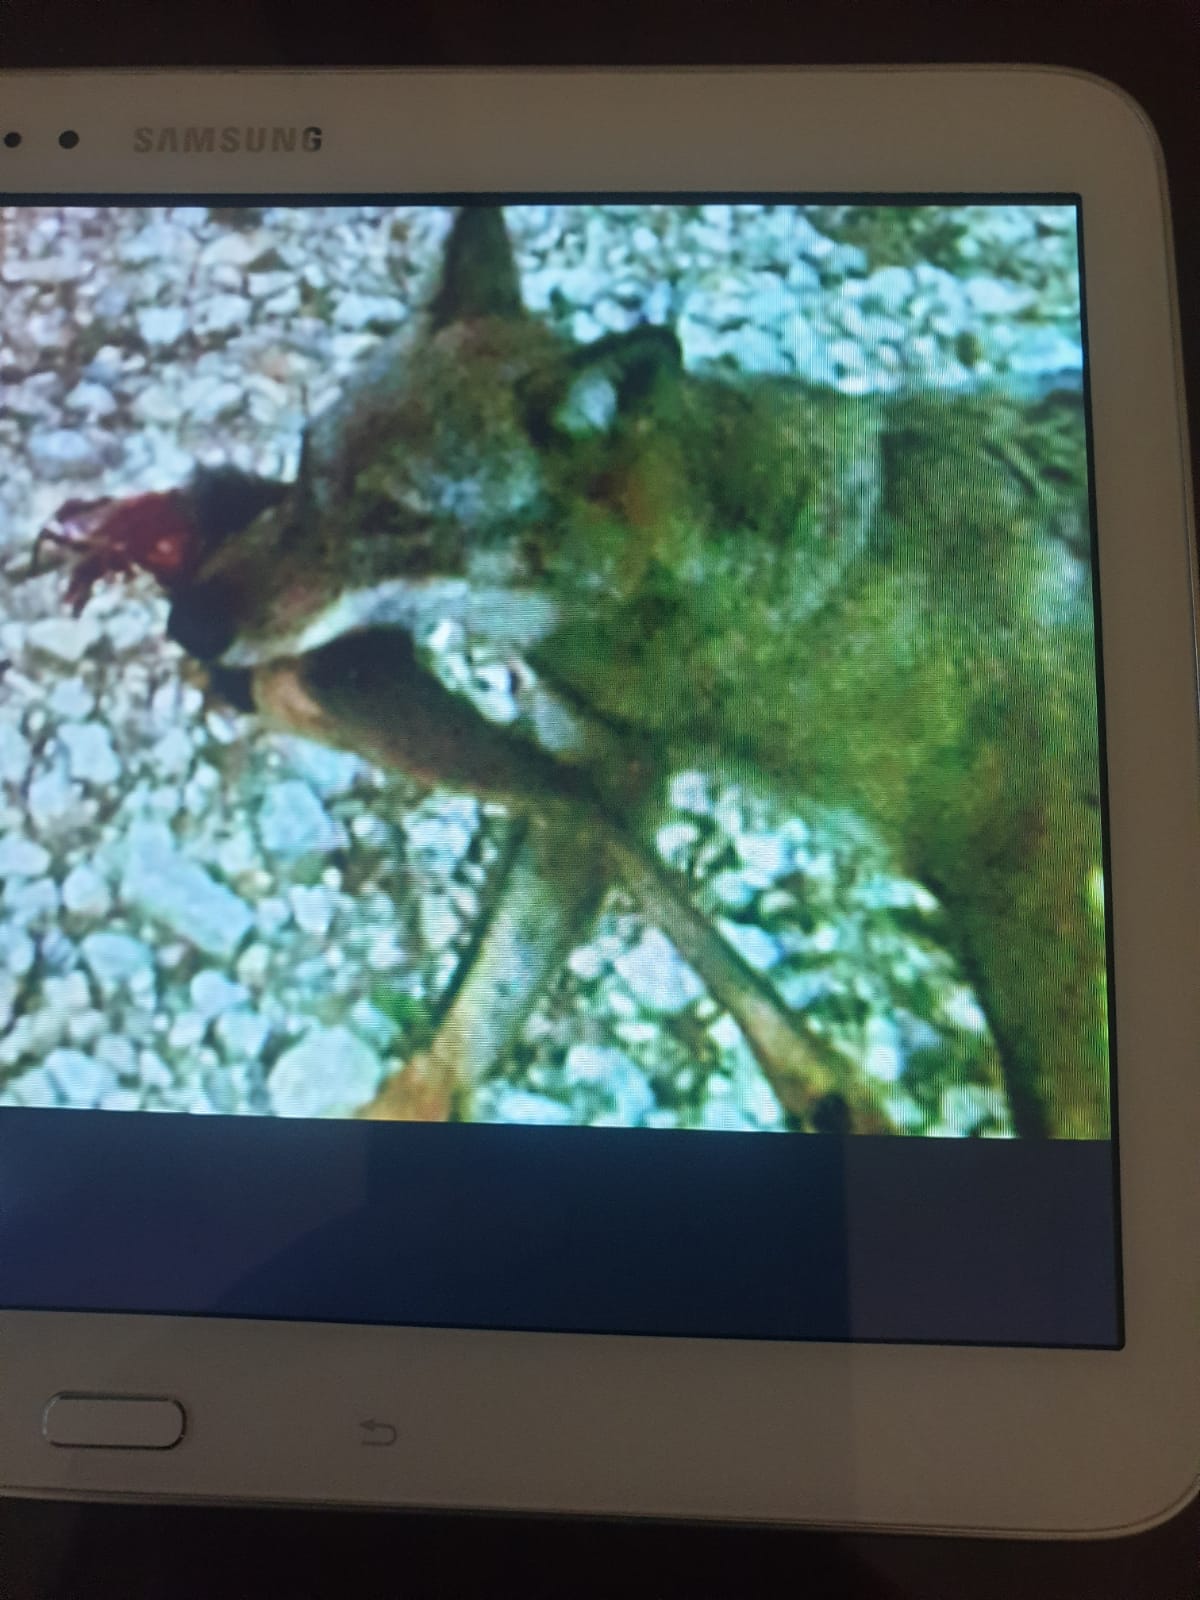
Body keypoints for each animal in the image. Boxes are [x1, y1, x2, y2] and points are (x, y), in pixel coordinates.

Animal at [165, 205, 1109, 1138]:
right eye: (302, 460)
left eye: (395, 518)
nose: (187, 623)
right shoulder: (598, 775)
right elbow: (485, 993)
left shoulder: (1033, 887)